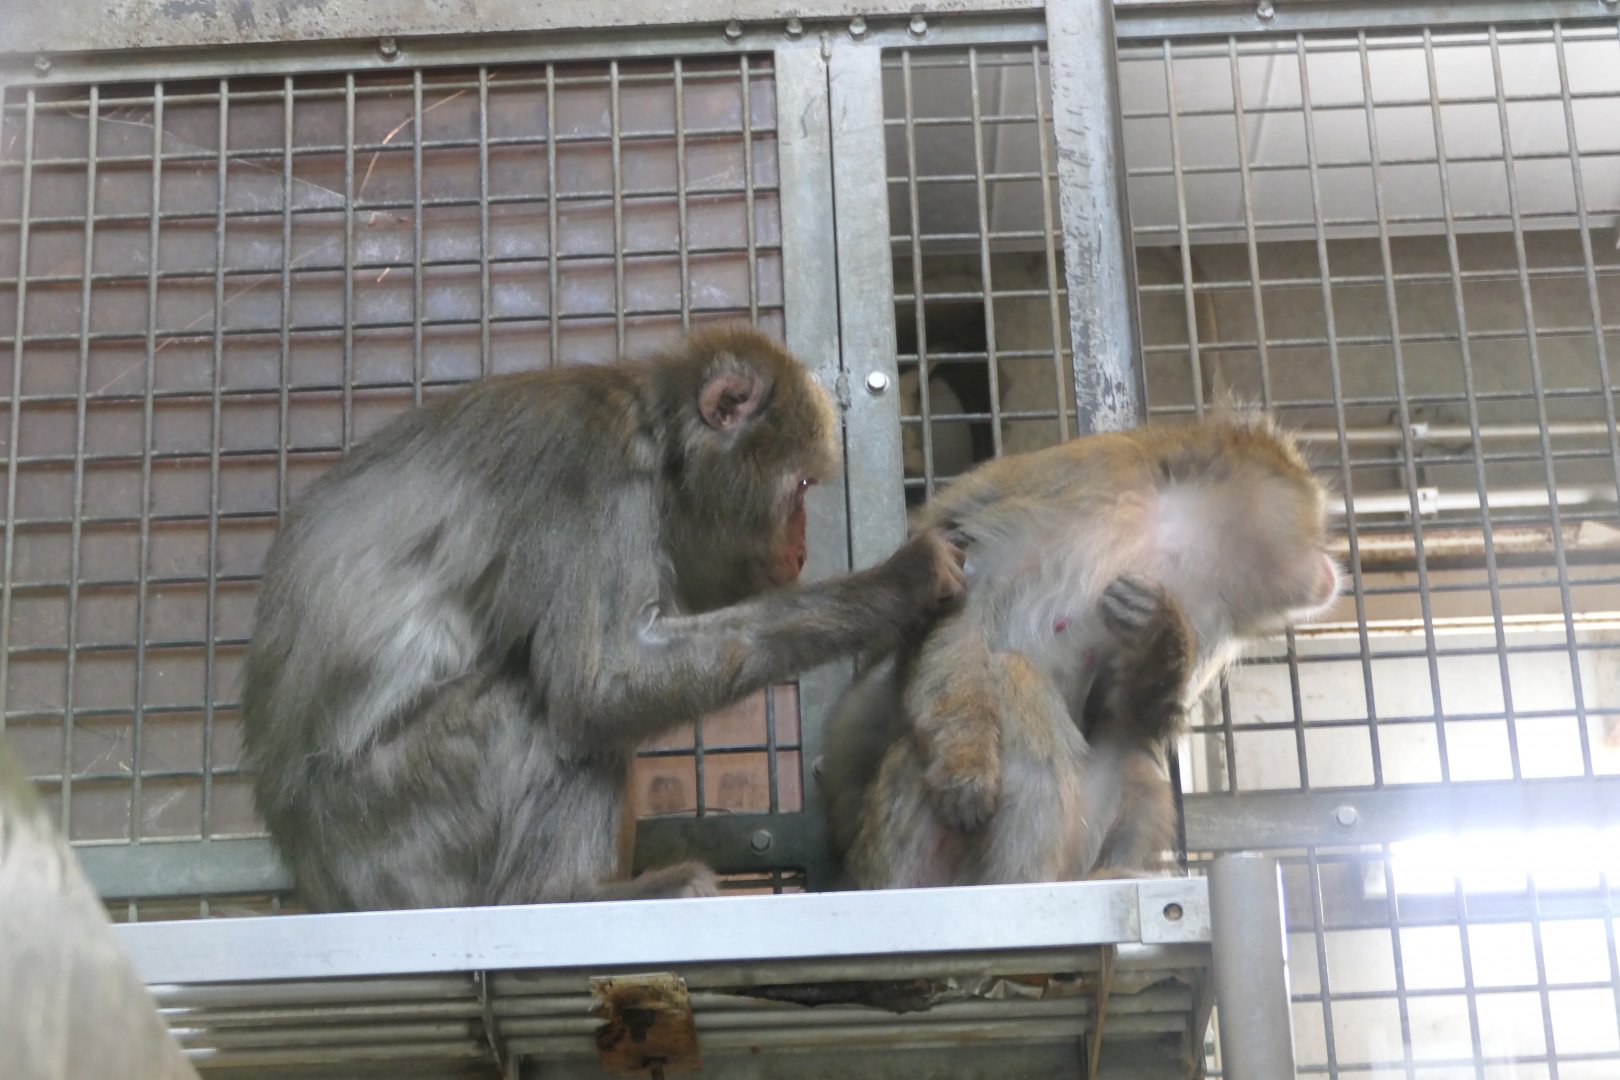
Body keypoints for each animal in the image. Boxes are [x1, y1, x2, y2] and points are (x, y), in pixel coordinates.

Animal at [241, 326, 967, 912]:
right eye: (803, 488)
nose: (801, 548)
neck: (654, 433)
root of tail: (318, 881)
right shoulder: (596, 474)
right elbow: (600, 686)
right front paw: (895, 586)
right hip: (396, 832)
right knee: (540, 705)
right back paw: (558, 896)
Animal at [819, 411, 1342, 889]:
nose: (1330, 557)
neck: (1173, 534)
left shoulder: (1208, 611)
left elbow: (1130, 715)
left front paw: (1161, 635)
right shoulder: (1081, 485)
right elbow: (966, 608)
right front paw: (964, 765)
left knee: (1132, 755)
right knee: (1011, 679)